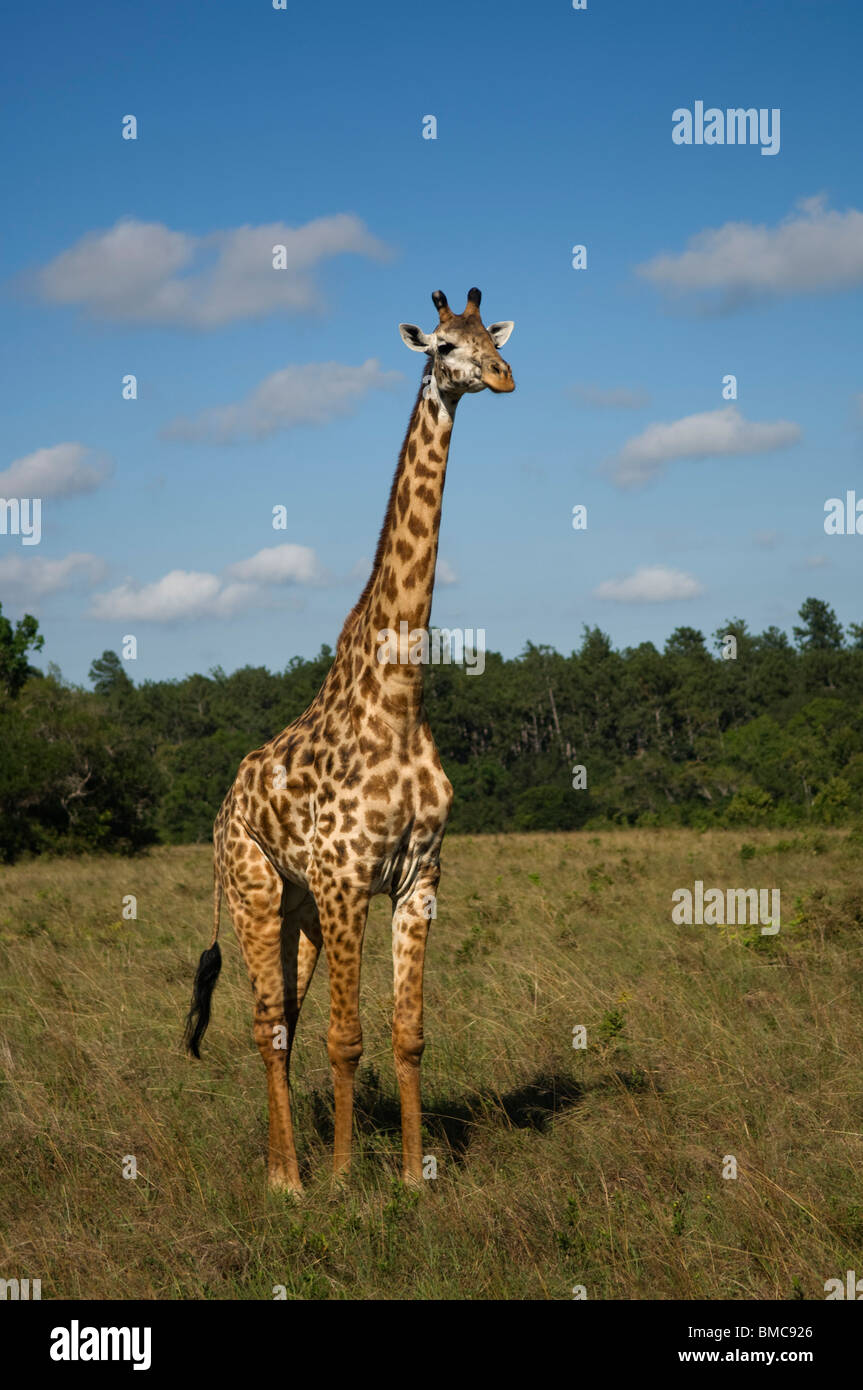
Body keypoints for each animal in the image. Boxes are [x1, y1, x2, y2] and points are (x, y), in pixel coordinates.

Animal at [184, 284, 514, 1195]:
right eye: (442, 345)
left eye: (493, 335)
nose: (502, 377)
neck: (398, 698)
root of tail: (221, 812)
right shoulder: (344, 882)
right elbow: (346, 1038)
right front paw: (341, 1184)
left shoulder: (417, 879)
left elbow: (406, 1037)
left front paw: (410, 1176)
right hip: (259, 892)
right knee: (269, 1023)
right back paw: (290, 1183)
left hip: (294, 909)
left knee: (282, 1021)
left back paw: (278, 1164)